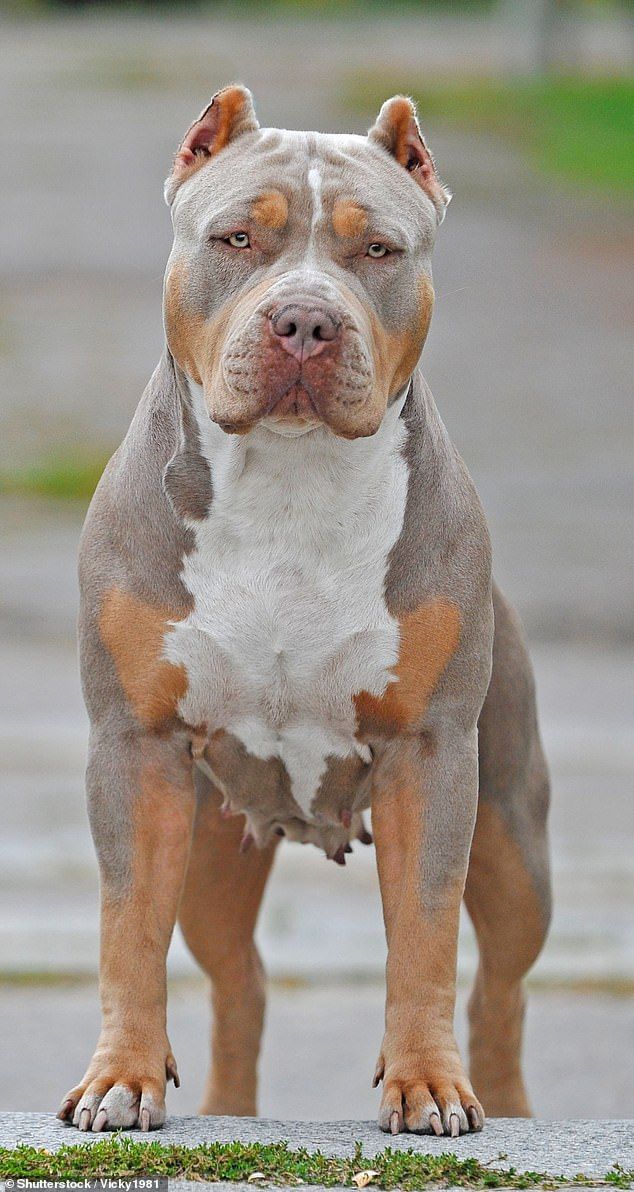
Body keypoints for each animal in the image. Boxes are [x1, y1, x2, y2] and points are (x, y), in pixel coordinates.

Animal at [60, 86, 555, 1134]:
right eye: (237, 238)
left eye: (379, 250)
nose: (303, 322)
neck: (288, 484)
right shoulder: (137, 750)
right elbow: (128, 928)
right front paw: (121, 1076)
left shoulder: (431, 755)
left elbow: (424, 934)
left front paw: (426, 1082)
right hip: (211, 843)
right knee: (238, 979)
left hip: (511, 837)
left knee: (501, 984)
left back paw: (504, 1097)